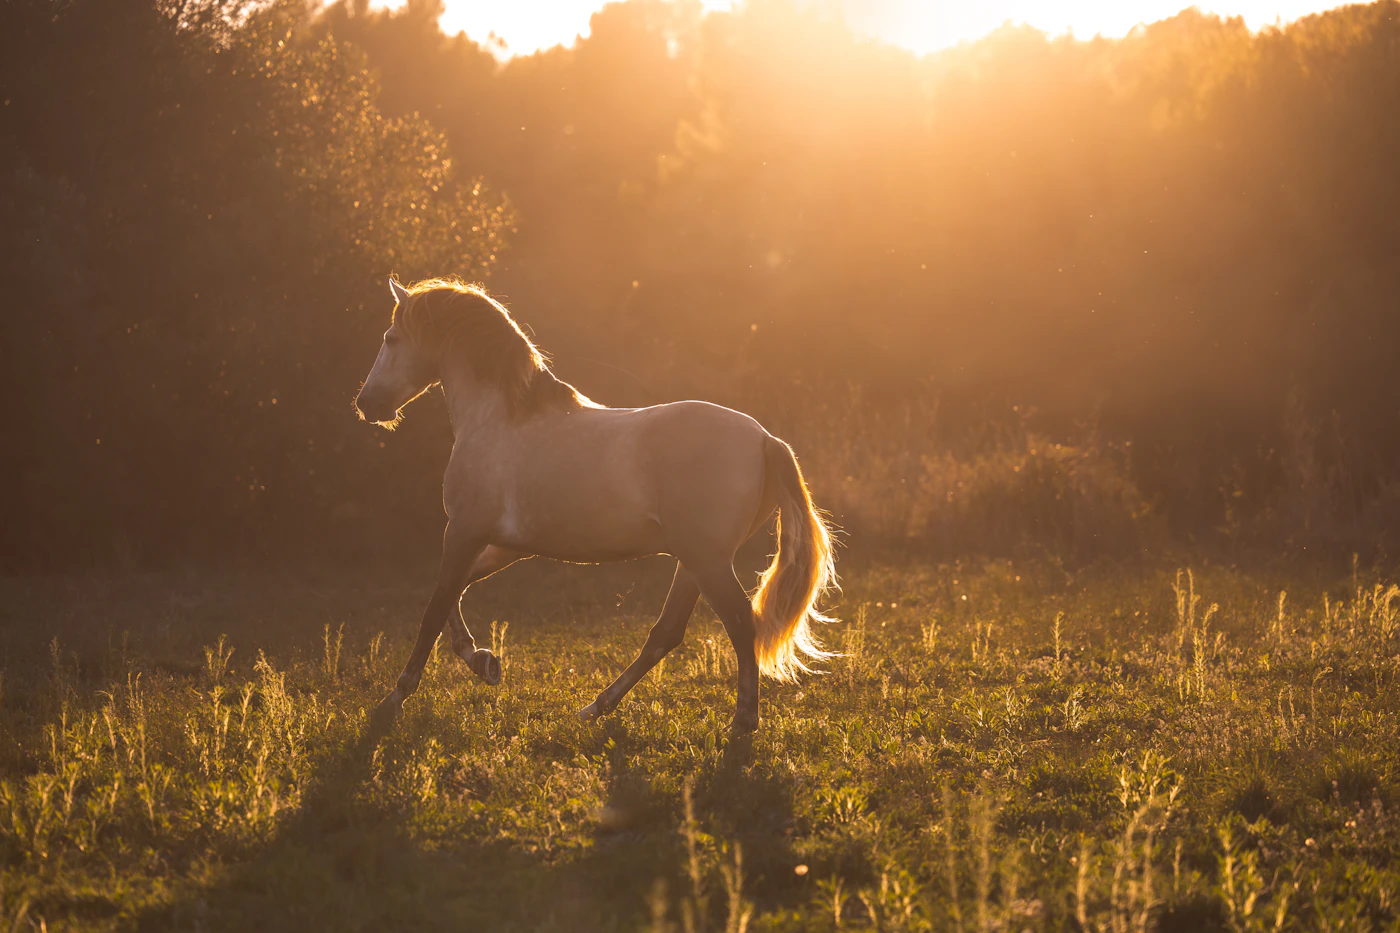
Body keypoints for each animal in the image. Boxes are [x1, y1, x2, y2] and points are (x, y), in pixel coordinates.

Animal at [353, 277, 838, 732]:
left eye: (390, 338)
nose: (366, 404)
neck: (500, 420)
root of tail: (765, 439)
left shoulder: (463, 531)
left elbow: (434, 609)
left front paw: (394, 700)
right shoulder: (505, 544)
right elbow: (452, 592)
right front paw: (483, 661)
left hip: (709, 563)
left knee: (739, 624)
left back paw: (743, 718)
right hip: (694, 563)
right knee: (666, 633)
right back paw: (596, 707)